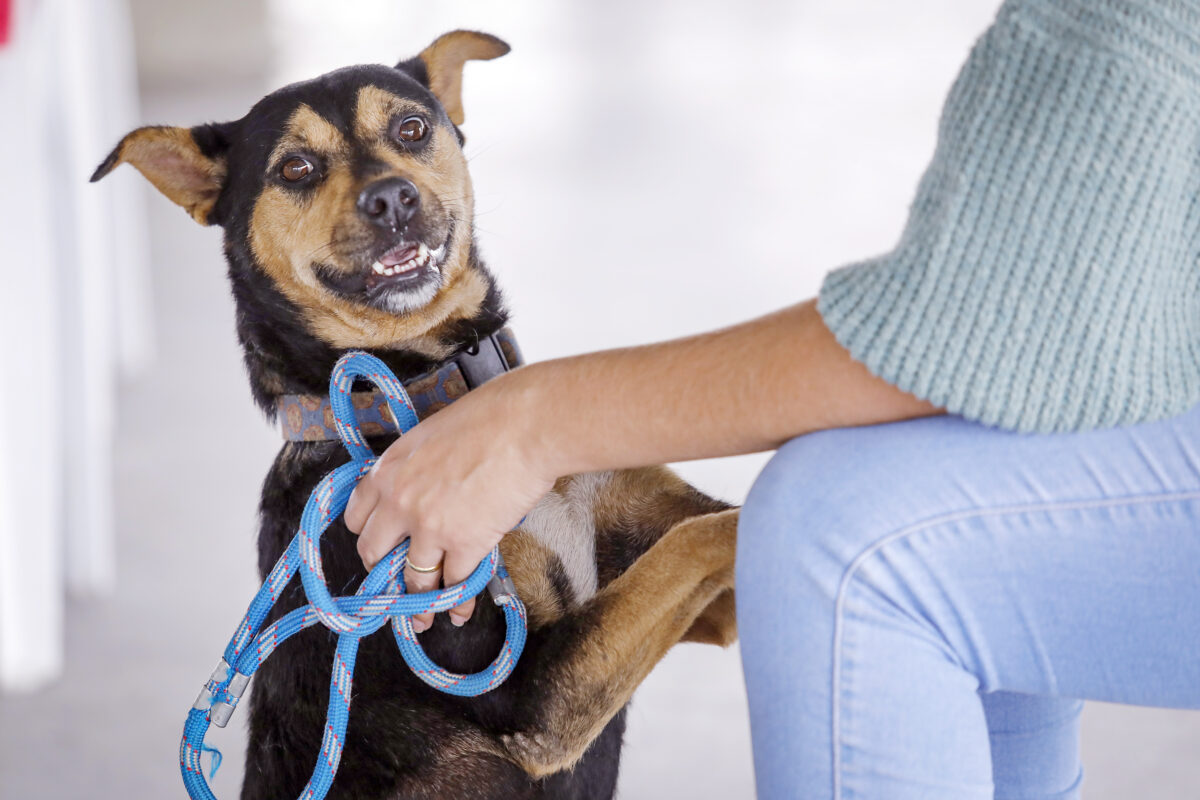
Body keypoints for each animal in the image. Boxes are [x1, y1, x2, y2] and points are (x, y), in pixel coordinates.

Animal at [93, 31, 734, 800]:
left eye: (411, 128)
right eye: (295, 167)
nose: (391, 198)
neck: (432, 387)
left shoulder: (694, 593)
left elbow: (705, 529)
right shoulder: (529, 701)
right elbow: (708, 536)